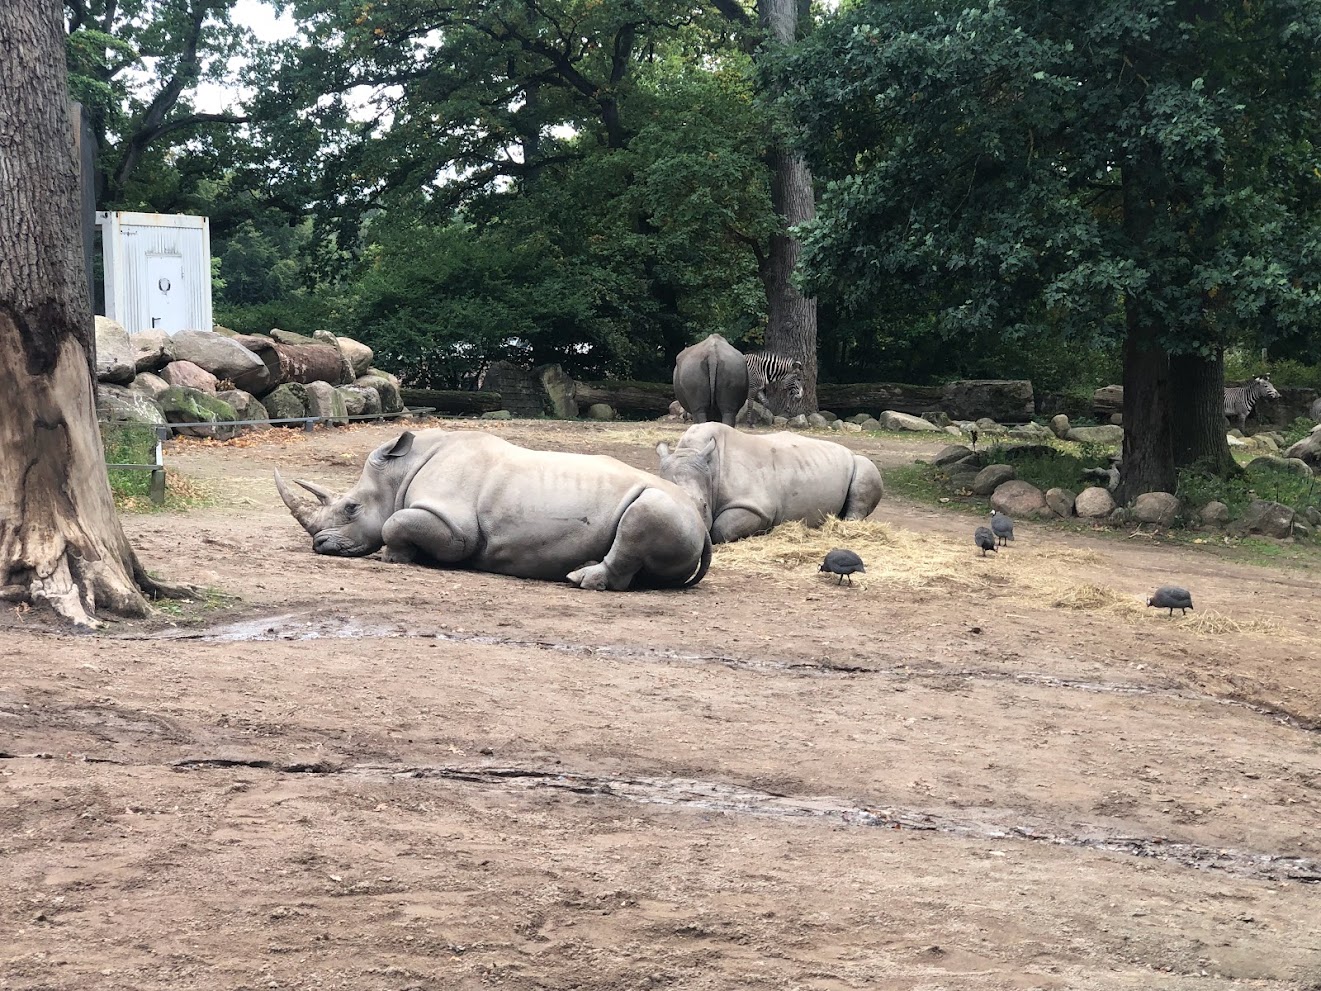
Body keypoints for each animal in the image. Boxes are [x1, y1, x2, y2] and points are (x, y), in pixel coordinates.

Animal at [276, 429, 711, 591]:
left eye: (351, 508)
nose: (319, 545)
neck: (399, 472)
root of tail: (702, 522)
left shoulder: (456, 529)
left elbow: (394, 523)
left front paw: (394, 558)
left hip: (666, 505)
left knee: (642, 514)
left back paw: (579, 578)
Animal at [655, 422, 884, 543]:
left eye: (704, 506)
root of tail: (847, 450)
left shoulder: (757, 507)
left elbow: (723, 529)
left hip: (860, 462)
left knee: (864, 471)